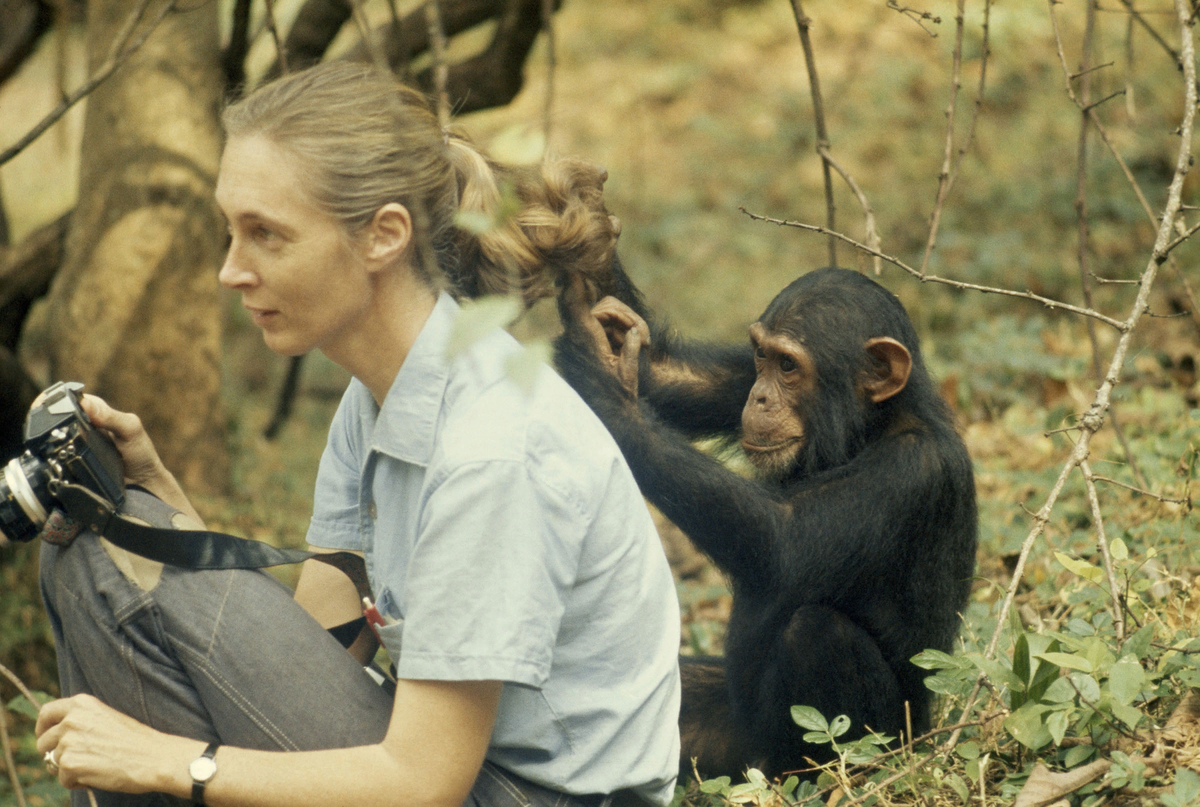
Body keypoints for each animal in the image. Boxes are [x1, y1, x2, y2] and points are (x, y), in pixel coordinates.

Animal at [556, 264, 979, 782]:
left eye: (790, 367)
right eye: (763, 357)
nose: (759, 397)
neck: (868, 428)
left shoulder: (912, 469)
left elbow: (783, 540)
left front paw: (603, 380)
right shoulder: (737, 378)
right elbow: (682, 380)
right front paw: (599, 321)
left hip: (890, 744)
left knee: (816, 632)